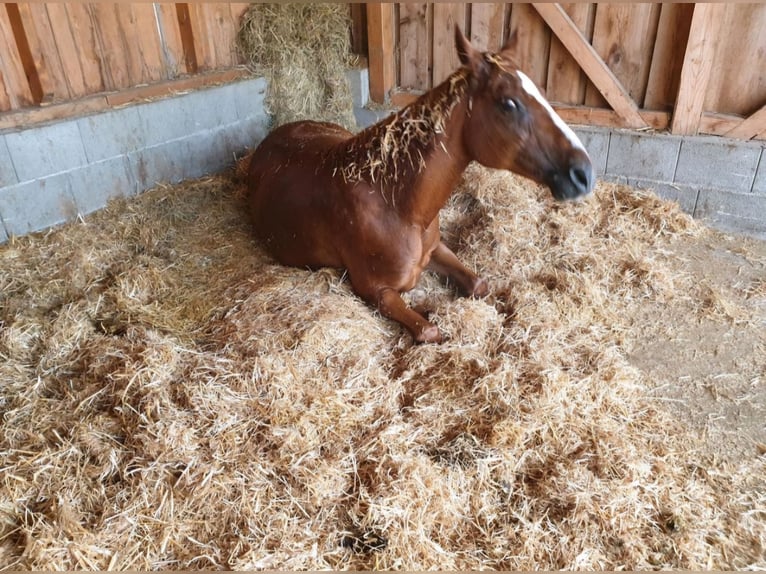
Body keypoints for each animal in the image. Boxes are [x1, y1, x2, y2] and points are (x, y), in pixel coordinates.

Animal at [246, 25, 592, 342]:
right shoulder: (376, 291)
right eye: (509, 103)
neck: (397, 205)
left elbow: (479, 284)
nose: (583, 175)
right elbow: (428, 330)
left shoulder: (436, 248)